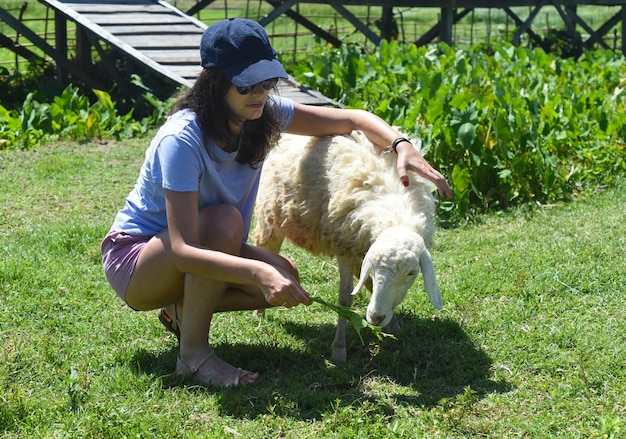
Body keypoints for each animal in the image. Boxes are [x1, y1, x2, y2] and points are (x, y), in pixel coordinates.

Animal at [251, 131, 442, 364]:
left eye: (412, 273)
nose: (375, 317)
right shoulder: (344, 248)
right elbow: (345, 299)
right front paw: (338, 349)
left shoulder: (358, 246)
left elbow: (366, 286)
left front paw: (392, 325)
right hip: (272, 218)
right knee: (267, 252)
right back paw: (259, 313)